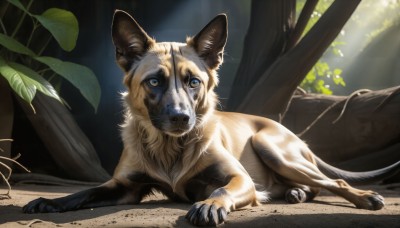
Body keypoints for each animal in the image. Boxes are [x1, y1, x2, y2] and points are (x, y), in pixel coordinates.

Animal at [22, 9, 400, 227]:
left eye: (193, 81)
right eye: (154, 81)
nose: (180, 118)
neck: (169, 148)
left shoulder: (240, 179)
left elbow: (220, 189)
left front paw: (209, 204)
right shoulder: (125, 187)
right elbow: (82, 193)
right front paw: (50, 201)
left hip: (271, 147)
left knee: (333, 182)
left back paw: (364, 198)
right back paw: (295, 194)